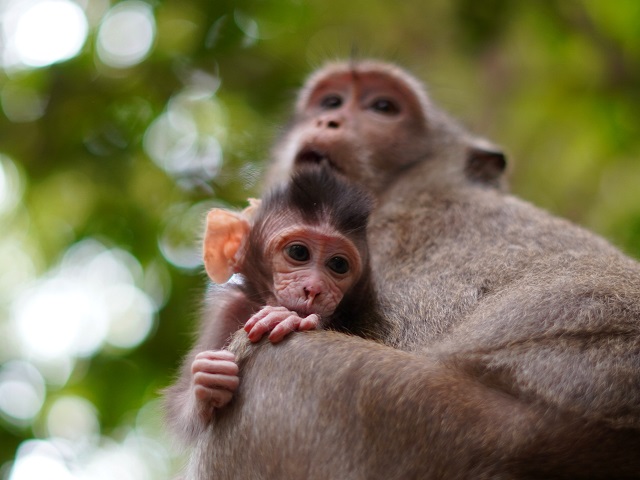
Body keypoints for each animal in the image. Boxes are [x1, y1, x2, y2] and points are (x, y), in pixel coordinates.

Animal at [164, 165, 380, 438]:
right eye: (298, 252)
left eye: (338, 265)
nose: (314, 289)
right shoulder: (228, 309)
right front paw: (205, 382)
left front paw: (285, 317)